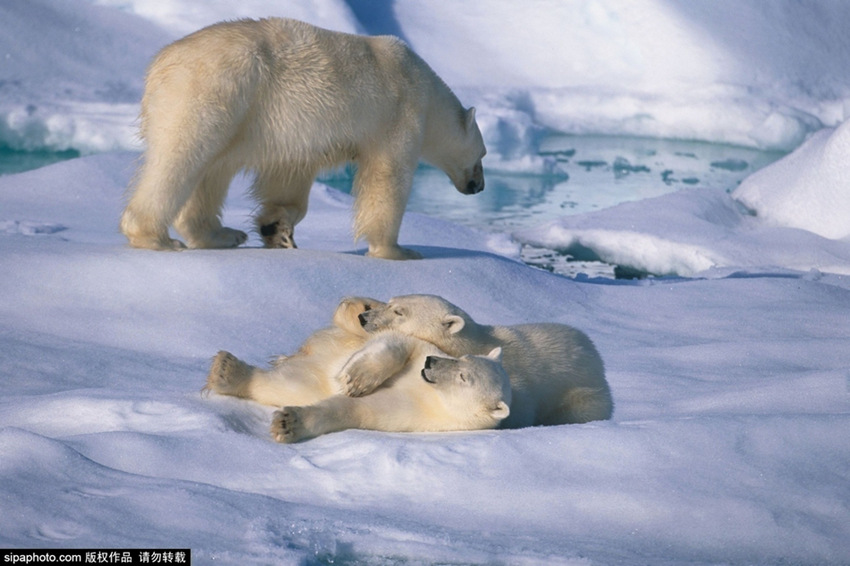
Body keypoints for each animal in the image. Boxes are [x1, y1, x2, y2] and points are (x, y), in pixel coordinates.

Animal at [122, 17, 486, 262]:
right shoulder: (399, 113)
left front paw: (277, 230)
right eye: (482, 154)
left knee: (213, 170)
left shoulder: (295, 137)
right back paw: (156, 238)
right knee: (180, 158)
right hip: (214, 91)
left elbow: (287, 177)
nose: (479, 186)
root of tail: (160, 64)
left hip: (234, 111)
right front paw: (398, 251)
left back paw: (221, 235)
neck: (428, 90)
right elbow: (387, 178)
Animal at [205, 298, 510, 444]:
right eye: (463, 360)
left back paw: (226, 371)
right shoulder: (422, 347)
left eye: (464, 378)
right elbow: (399, 343)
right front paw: (356, 379)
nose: (431, 364)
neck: (433, 396)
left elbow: (355, 410)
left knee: (288, 385)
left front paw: (287, 423)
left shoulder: (416, 416)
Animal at [354, 296, 612, 428]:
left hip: (583, 397)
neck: (474, 343)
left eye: (399, 312)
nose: (363, 317)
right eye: (389, 302)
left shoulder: (518, 386)